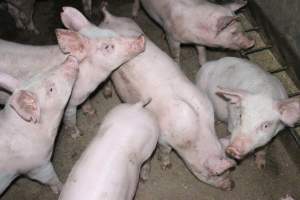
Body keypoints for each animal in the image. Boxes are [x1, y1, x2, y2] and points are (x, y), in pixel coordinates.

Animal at [0, 6, 145, 138]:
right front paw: (77, 134)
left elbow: (86, 102)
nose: (141, 38)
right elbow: (71, 120)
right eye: (107, 47)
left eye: (113, 32)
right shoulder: (68, 104)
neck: (90, 82)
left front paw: (92, 112)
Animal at [0, 55, 79, 195]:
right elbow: (50, 178)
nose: (70, 58)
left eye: (40, 73)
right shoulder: (36, 166)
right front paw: (62, 188)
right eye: (51, 89)